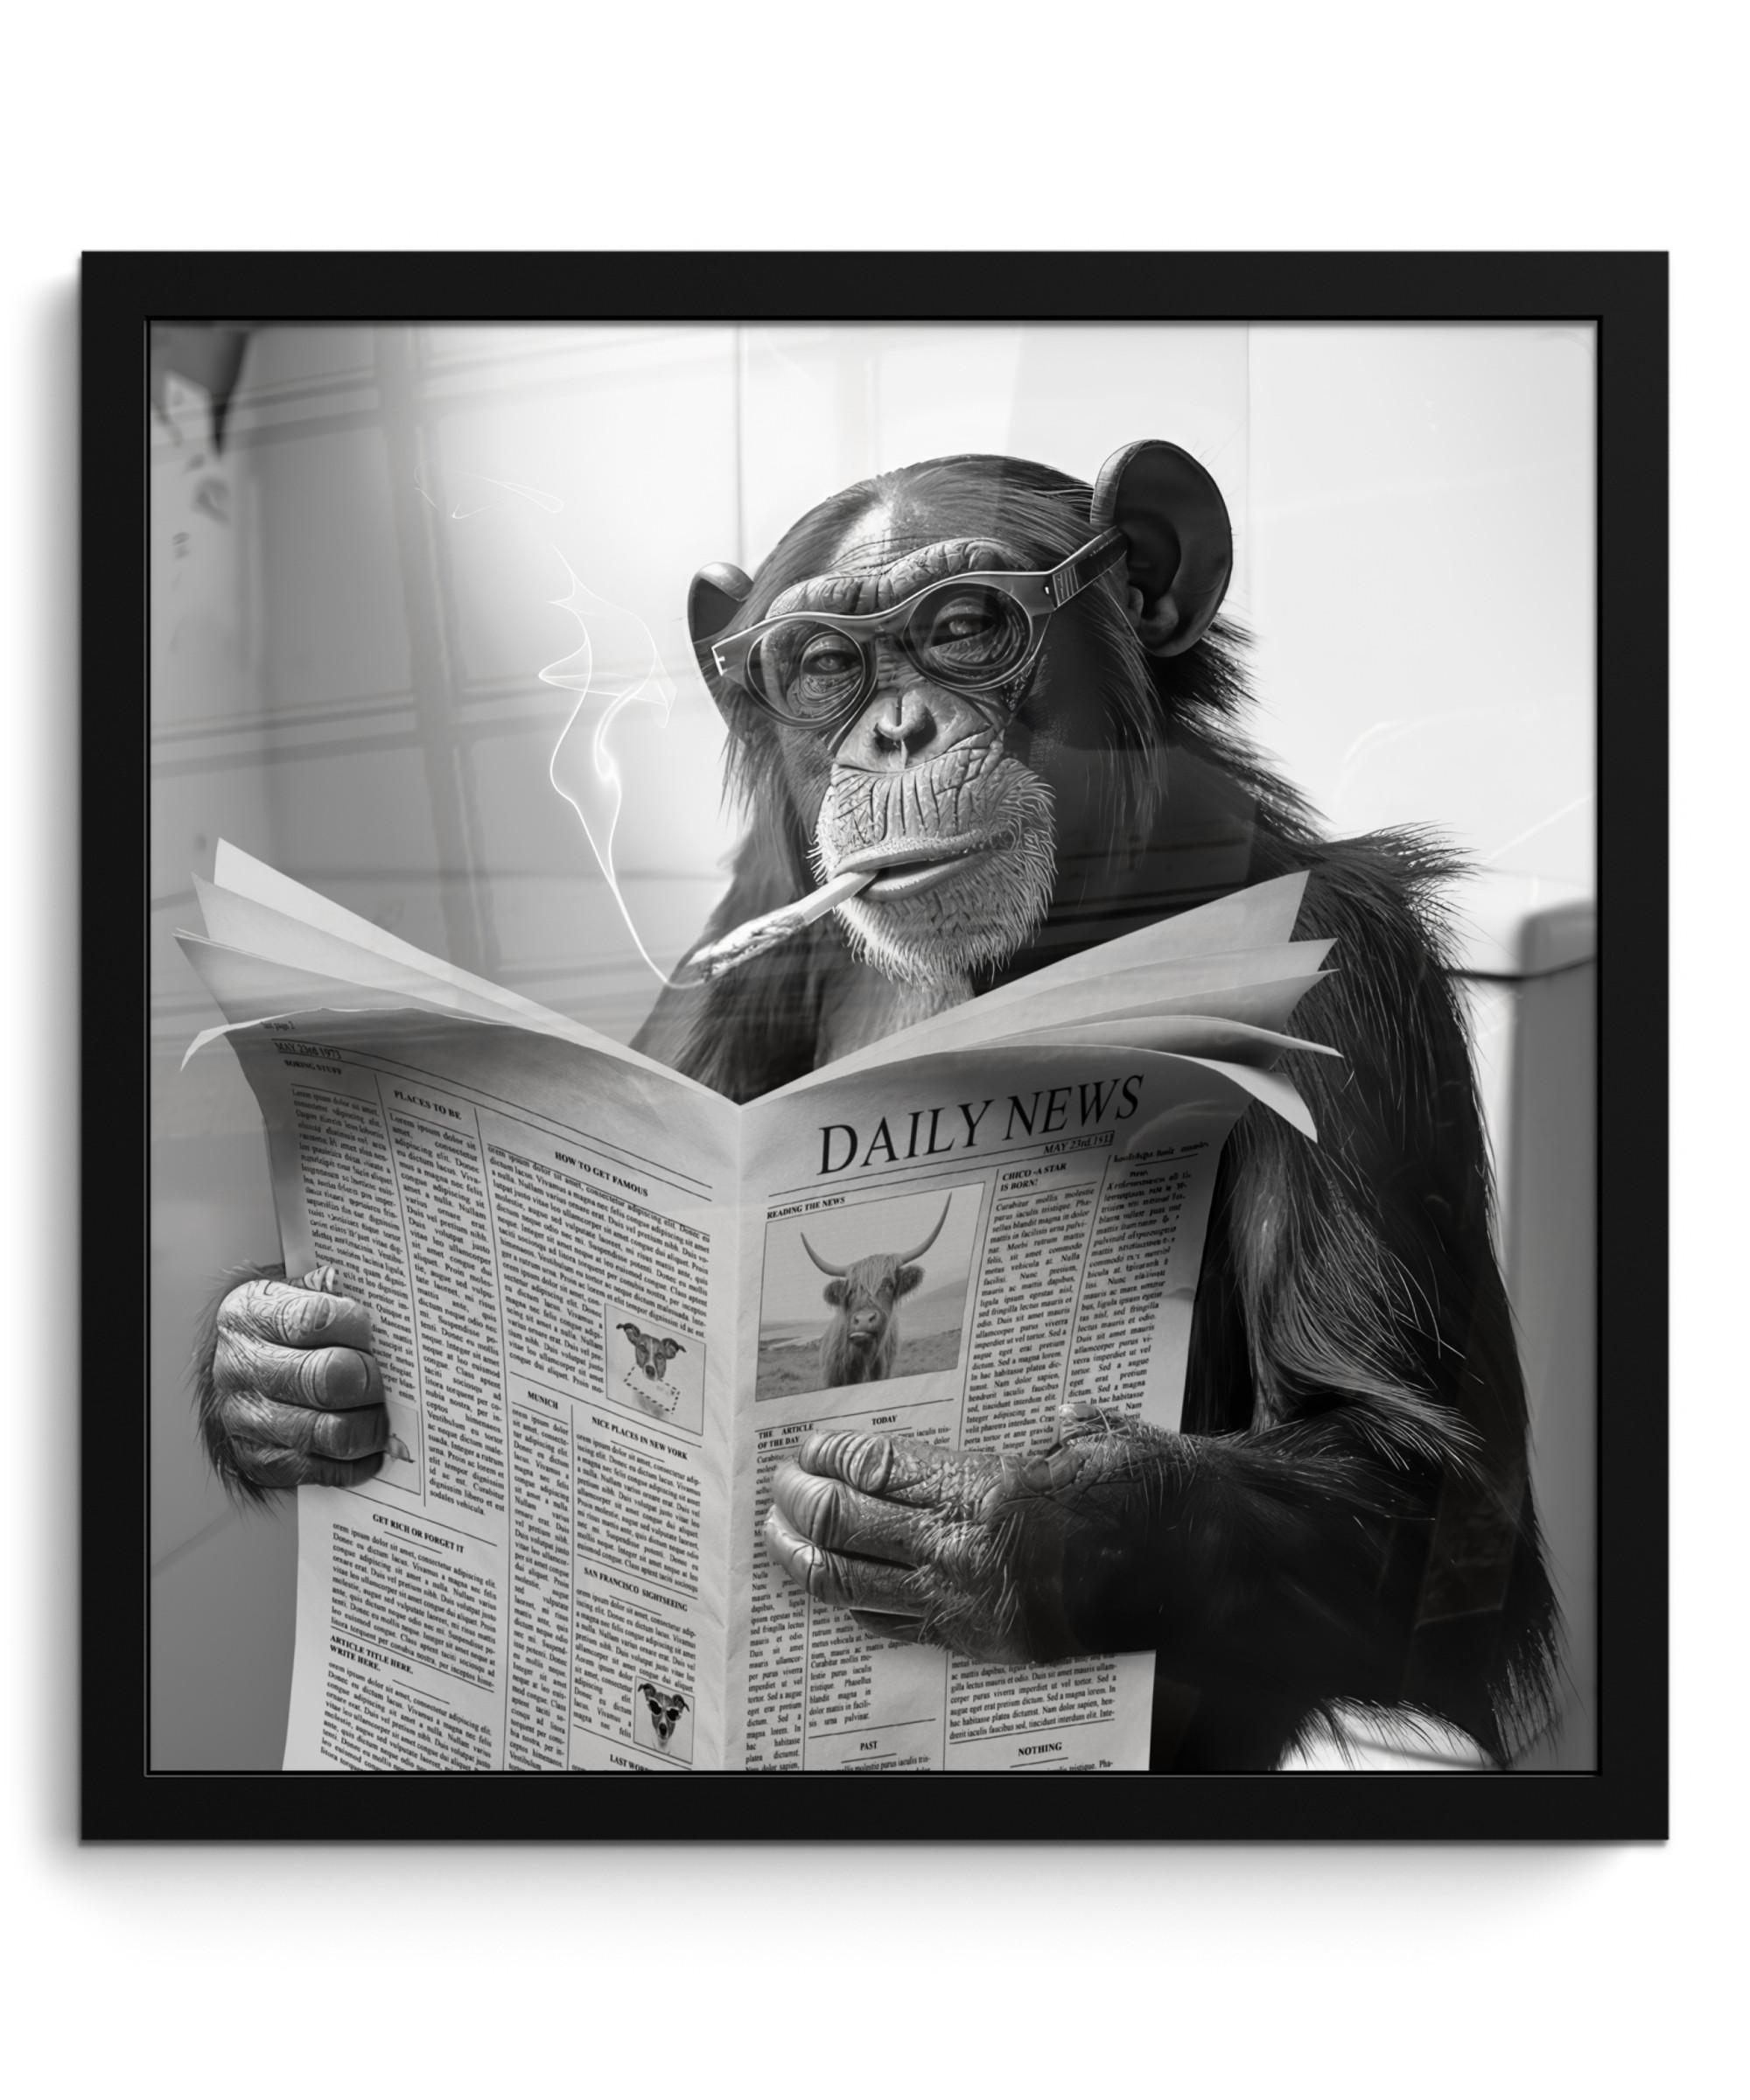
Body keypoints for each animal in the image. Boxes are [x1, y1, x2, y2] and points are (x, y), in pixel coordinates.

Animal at [196, 441, 1559, 1772]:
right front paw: (281, 1364)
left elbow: (1420, 1493)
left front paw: (992, 1522)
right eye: (821, 666)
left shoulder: (1348, 969)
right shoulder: (751, 916)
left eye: (965, 625)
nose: (897, 732)